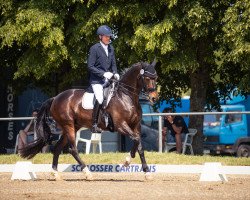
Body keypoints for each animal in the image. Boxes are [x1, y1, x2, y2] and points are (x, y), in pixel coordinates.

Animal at [19, 60, 158, 180]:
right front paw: (126, 161)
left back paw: (56, 174)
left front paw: (145, 171)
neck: (126, 96)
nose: (154, 98)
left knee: (58, 148)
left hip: (72, 127)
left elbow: (139, 145)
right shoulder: (121, 125)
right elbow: (136, 140)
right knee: (72, 150)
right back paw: (87, 173)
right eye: (147, 78)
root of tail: (55, 98)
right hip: (68, 126)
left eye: (155, 78)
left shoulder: (136, 126)